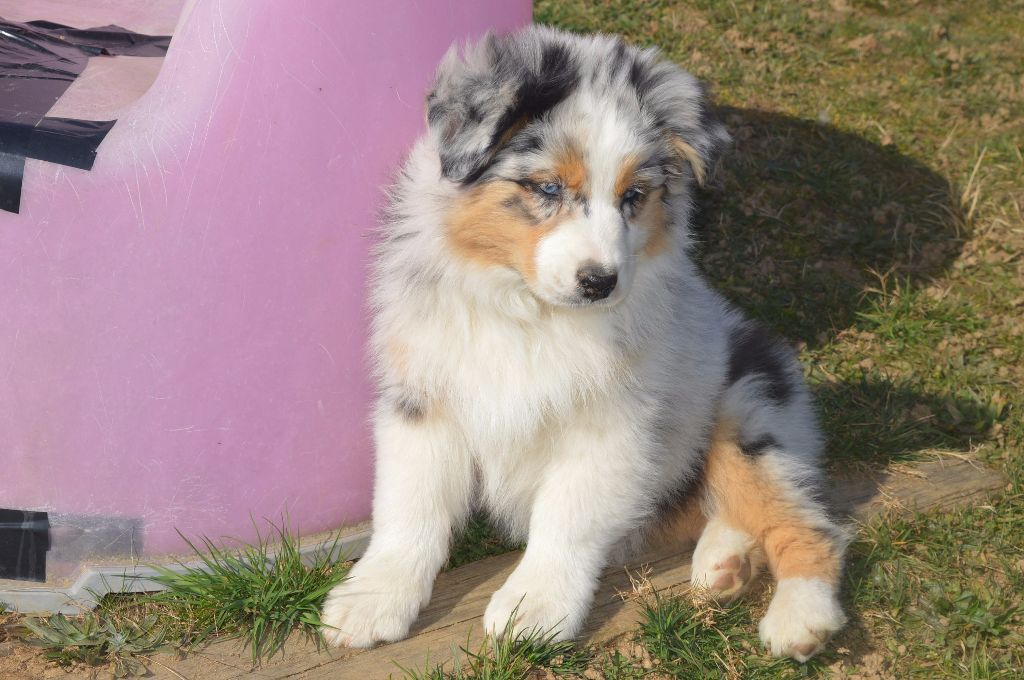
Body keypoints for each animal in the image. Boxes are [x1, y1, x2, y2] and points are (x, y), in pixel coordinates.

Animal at [320, 25, 848, 662]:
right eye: (547, 187)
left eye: (634, 196)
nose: (601, 282)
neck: (530, 314)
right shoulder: (425, 401)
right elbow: (409, 510)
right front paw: (370, 600)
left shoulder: (610, 427)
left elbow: (564, 521)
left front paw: (533, 609)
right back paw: (723, 567)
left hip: (747, 413)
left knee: (809, 523)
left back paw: (799, 618)